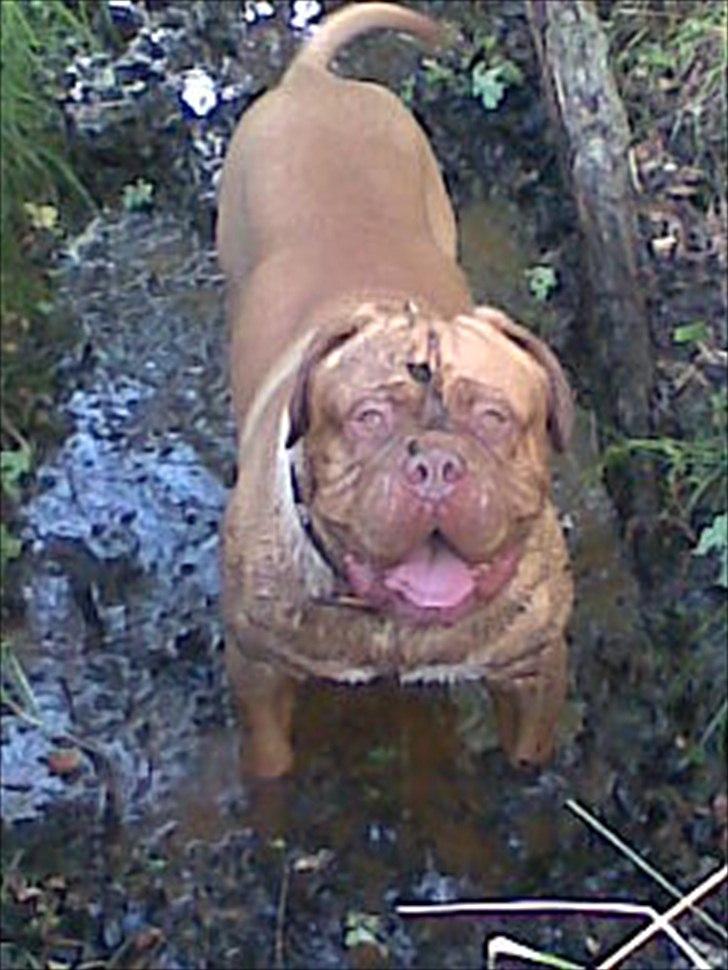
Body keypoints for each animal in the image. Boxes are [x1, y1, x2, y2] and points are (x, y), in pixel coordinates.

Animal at [216, 0, 576, 772]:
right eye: (369, 417)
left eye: (495, 419)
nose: (436, 464)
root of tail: (314, 82)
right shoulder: (257, 672)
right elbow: (270, 764)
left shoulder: (534, 673)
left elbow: (527, 756)